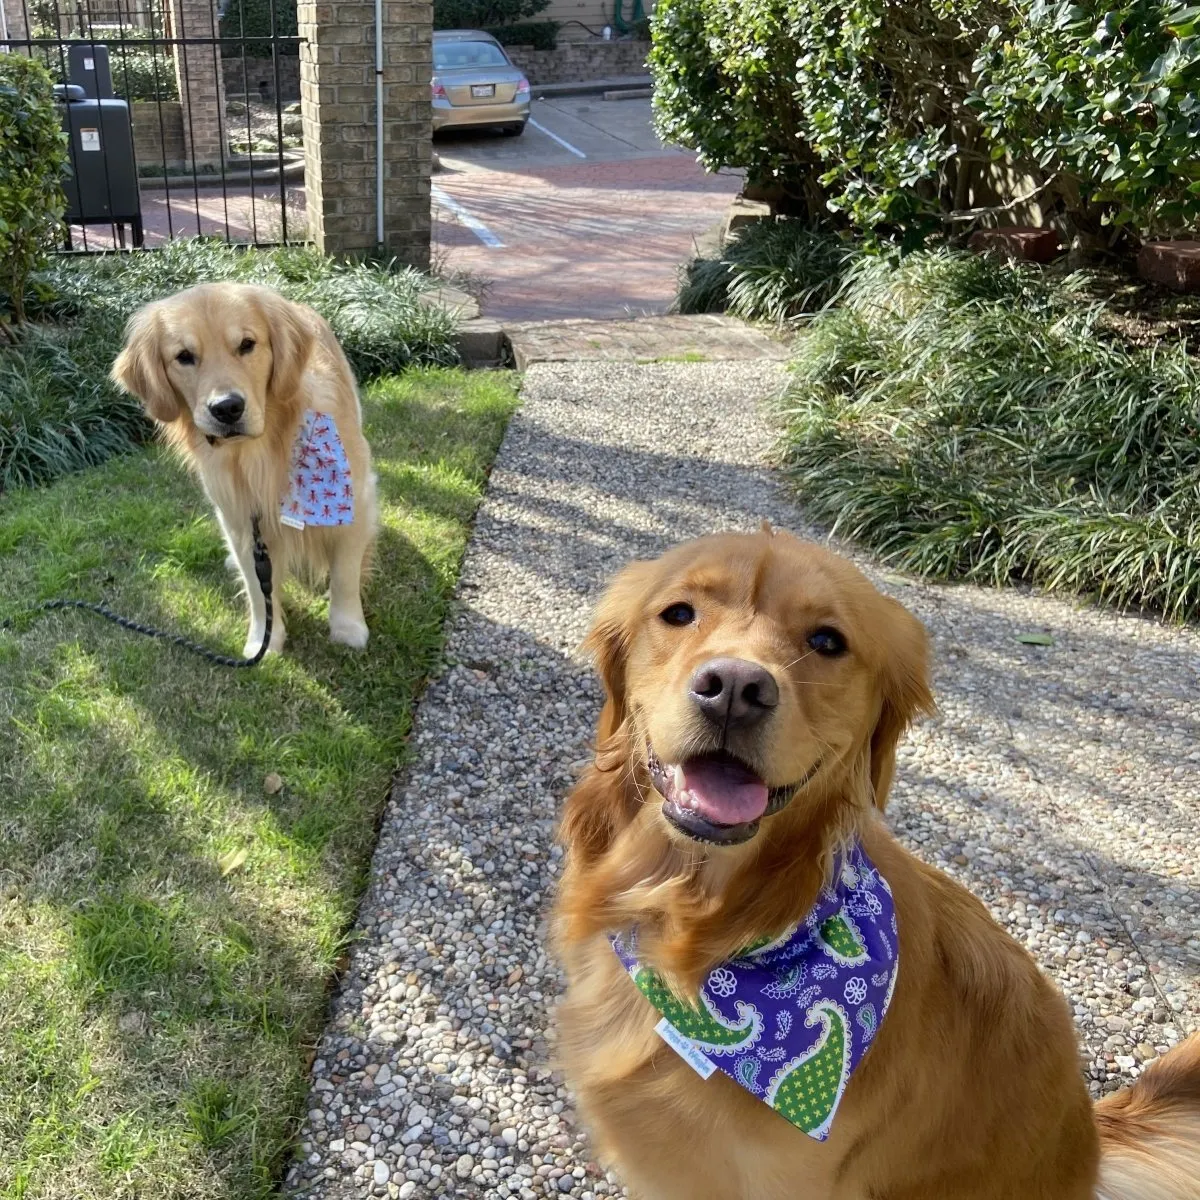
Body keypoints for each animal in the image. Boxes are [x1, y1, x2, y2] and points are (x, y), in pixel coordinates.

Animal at [112, 283, 376, 657]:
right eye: (184, 356)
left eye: (247, 344)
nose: (227, 408)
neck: (258, 455)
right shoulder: (240, 520)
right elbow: (257, 589)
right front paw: (264, 640)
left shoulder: (354, 505)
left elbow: (345, 575)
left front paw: (348, 627)